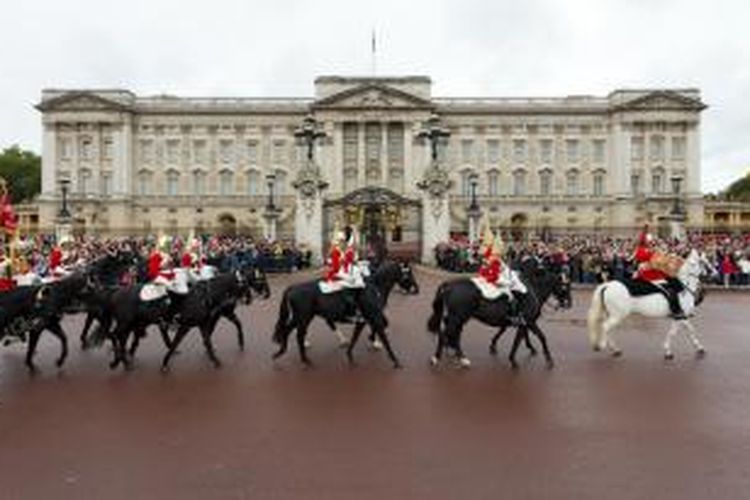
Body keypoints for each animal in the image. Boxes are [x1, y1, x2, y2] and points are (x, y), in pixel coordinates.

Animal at [428, 260, 568, 370]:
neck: (533, 291)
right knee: (447, 334)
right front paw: (515, 359)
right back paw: (445, 357)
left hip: (458, 318)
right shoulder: (528, 321)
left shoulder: (523, 322)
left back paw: (452, 355)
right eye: (565, 286)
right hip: (458, 317)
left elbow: (522, 335)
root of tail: (449, 285)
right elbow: (529, 338)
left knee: (452, 334)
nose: (568, 303)